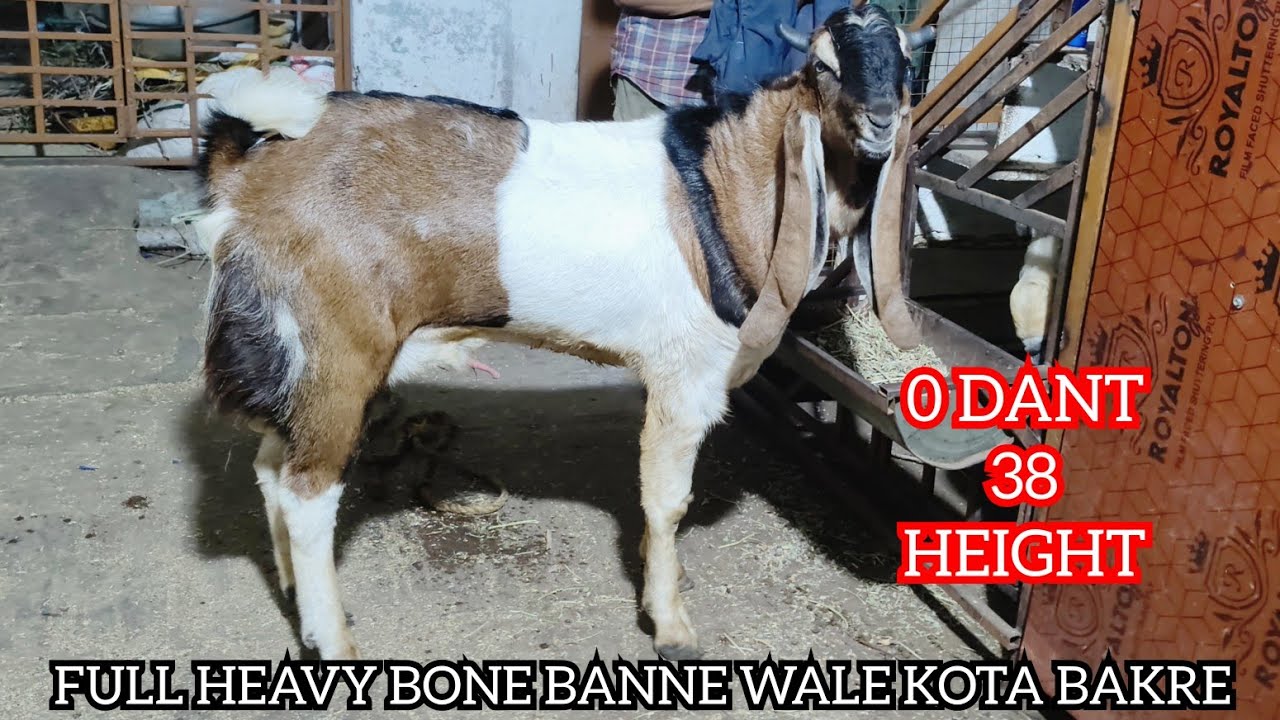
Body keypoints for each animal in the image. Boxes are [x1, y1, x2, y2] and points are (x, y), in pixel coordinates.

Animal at [197, 1, 932, 660]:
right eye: (825, 67)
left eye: (906, 68)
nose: (880, 123)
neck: (718, 184)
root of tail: (247, 170)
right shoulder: (685, 376)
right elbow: (667, 502)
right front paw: (670, 624)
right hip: (336, 357)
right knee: (307, 493)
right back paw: (334, 638)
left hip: (291, 362)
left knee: (271, 469)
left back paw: (293, 593)